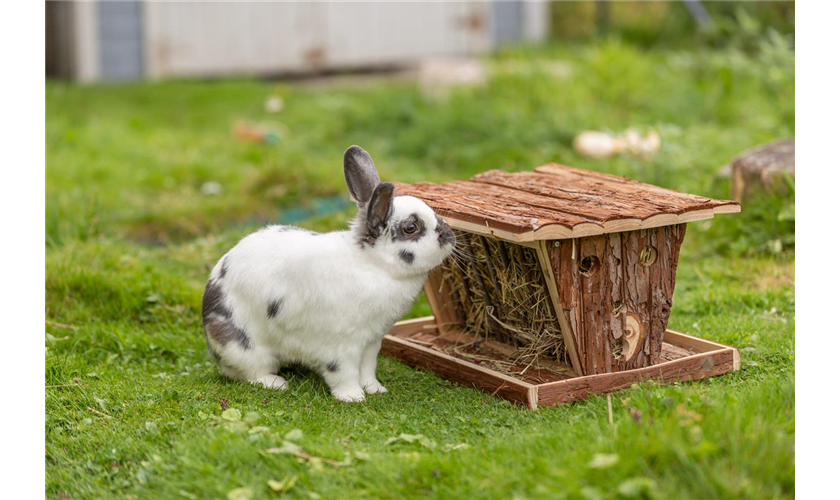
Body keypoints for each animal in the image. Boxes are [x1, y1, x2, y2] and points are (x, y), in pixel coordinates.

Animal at [202, 145, 456, 402]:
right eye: (411, 228)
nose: (449, 235)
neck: (372, 264)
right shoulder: (342, 346)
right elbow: (344, 373)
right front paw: (353, 397)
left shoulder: (371, 342)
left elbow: (367, 369)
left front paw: (375, 389)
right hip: (245, 347)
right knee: (251, 372)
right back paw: (276, 383)